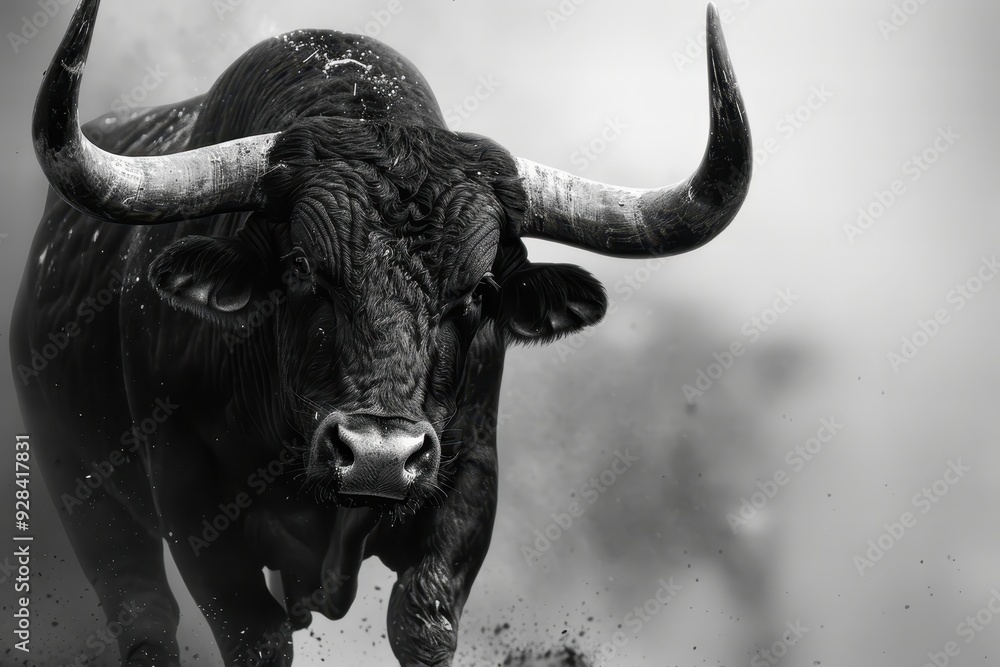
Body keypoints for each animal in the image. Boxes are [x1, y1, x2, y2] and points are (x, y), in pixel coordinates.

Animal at [10, 0, 751, 665]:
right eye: (302, 267)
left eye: (480, 290)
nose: (378, 455)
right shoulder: (192, 506)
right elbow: (254, 637)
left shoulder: (471, 478)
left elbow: (421, 620)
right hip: (77, 484)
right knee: (143, 616)